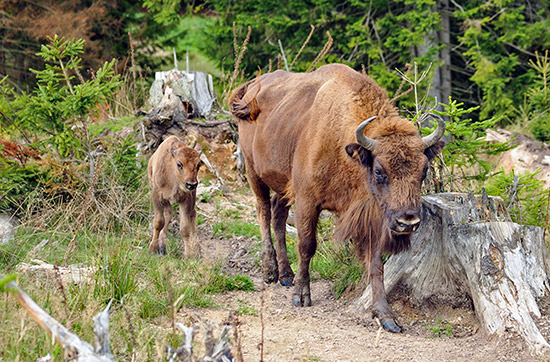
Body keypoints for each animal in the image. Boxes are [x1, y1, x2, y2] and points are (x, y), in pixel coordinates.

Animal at [231, 63, 446, 332]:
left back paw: (286, 275)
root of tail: (252, 87)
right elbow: (306, 245)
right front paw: (301, 296)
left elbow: (376, 263)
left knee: (278, 216)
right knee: (263, 212)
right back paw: (270, 272)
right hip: (254, 171)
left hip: (283, 185)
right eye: (379, 171)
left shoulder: (372, 215)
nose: (407, 222)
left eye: (424, 170)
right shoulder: (307, 201)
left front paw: (386, 316)